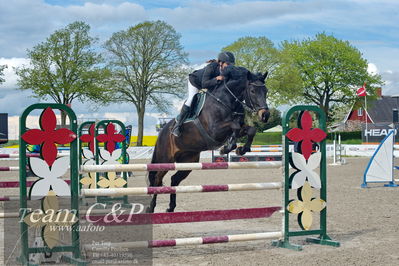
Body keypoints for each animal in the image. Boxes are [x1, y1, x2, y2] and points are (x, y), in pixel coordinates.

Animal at [148, 67, 270, 213]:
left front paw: (241, 149)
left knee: (174, 180)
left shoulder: (239, 127)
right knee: (157, 179)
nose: (265, 115)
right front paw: (227, 148)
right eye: (252, 91)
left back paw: (171, 207)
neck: (226, 101)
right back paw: (151, 208)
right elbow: (234, 126)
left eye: (266, 91)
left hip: (189, 161)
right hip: (166, 159)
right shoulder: (215, 130)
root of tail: (162, 131)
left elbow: (250, 130)